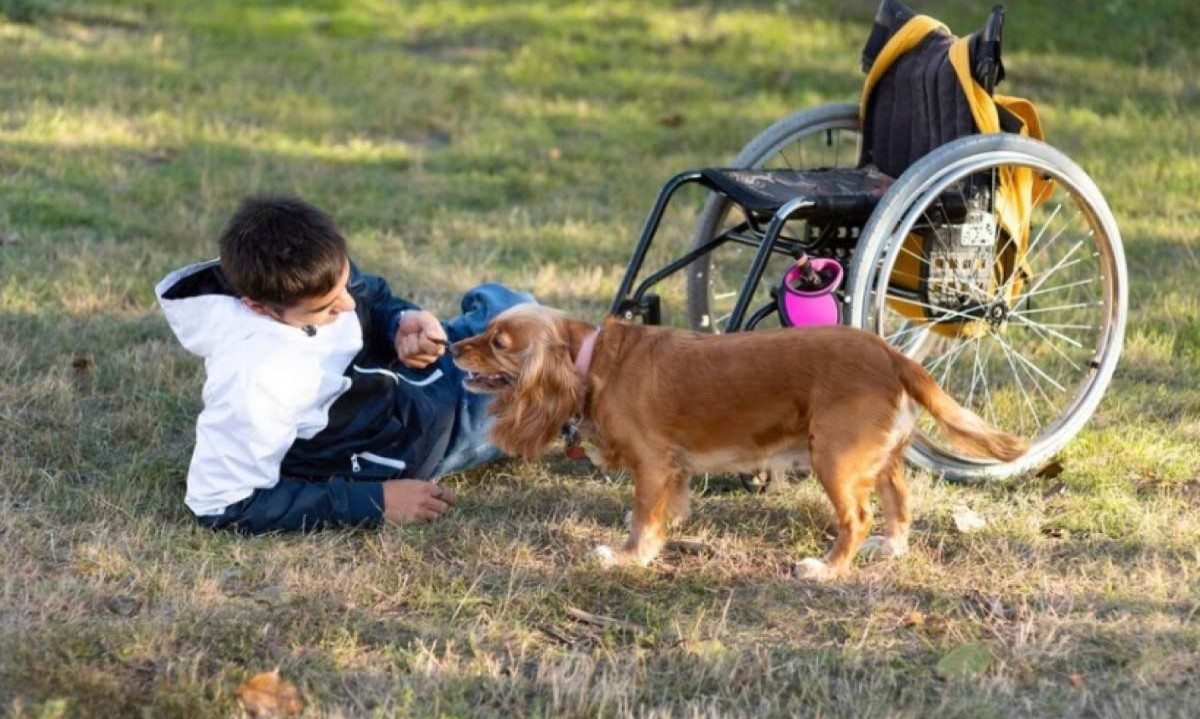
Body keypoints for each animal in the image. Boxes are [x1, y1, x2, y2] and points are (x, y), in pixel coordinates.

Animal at [451, 303, 1022, 578]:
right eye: (484, 332)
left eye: (498, 342)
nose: (454, 347)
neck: (592, 362)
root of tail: (891, 354)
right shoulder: (671, 469)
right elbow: (665, 510)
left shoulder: (652, 463)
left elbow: (641, 518)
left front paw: (629, 557)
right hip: (877, 458)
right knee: (899, 502)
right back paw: (892, 546)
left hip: (834, 457)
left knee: (856, 518)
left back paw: (828, 570)